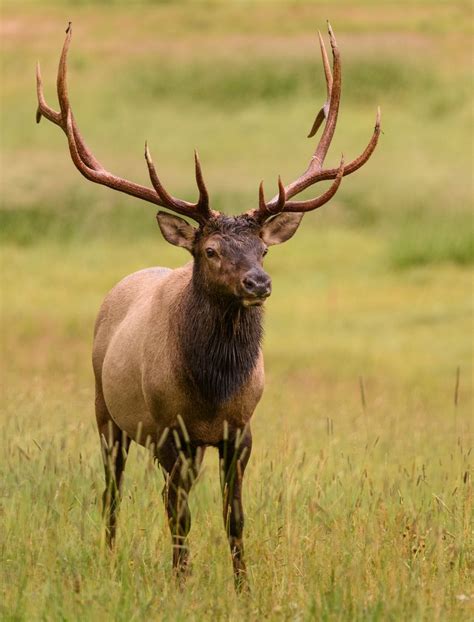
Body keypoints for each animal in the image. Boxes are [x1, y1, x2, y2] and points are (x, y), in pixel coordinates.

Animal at [35, 23, 380, 588]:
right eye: (212, 250)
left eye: (263, 248)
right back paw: (108, 554)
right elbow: (180, 515)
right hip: (105, 410)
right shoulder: (167, 430)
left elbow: (233, 516)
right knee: (115, 490)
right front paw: (181, 581)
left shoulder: (239, 431)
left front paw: (243, 586)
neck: (212, 390)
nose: (259, 282)